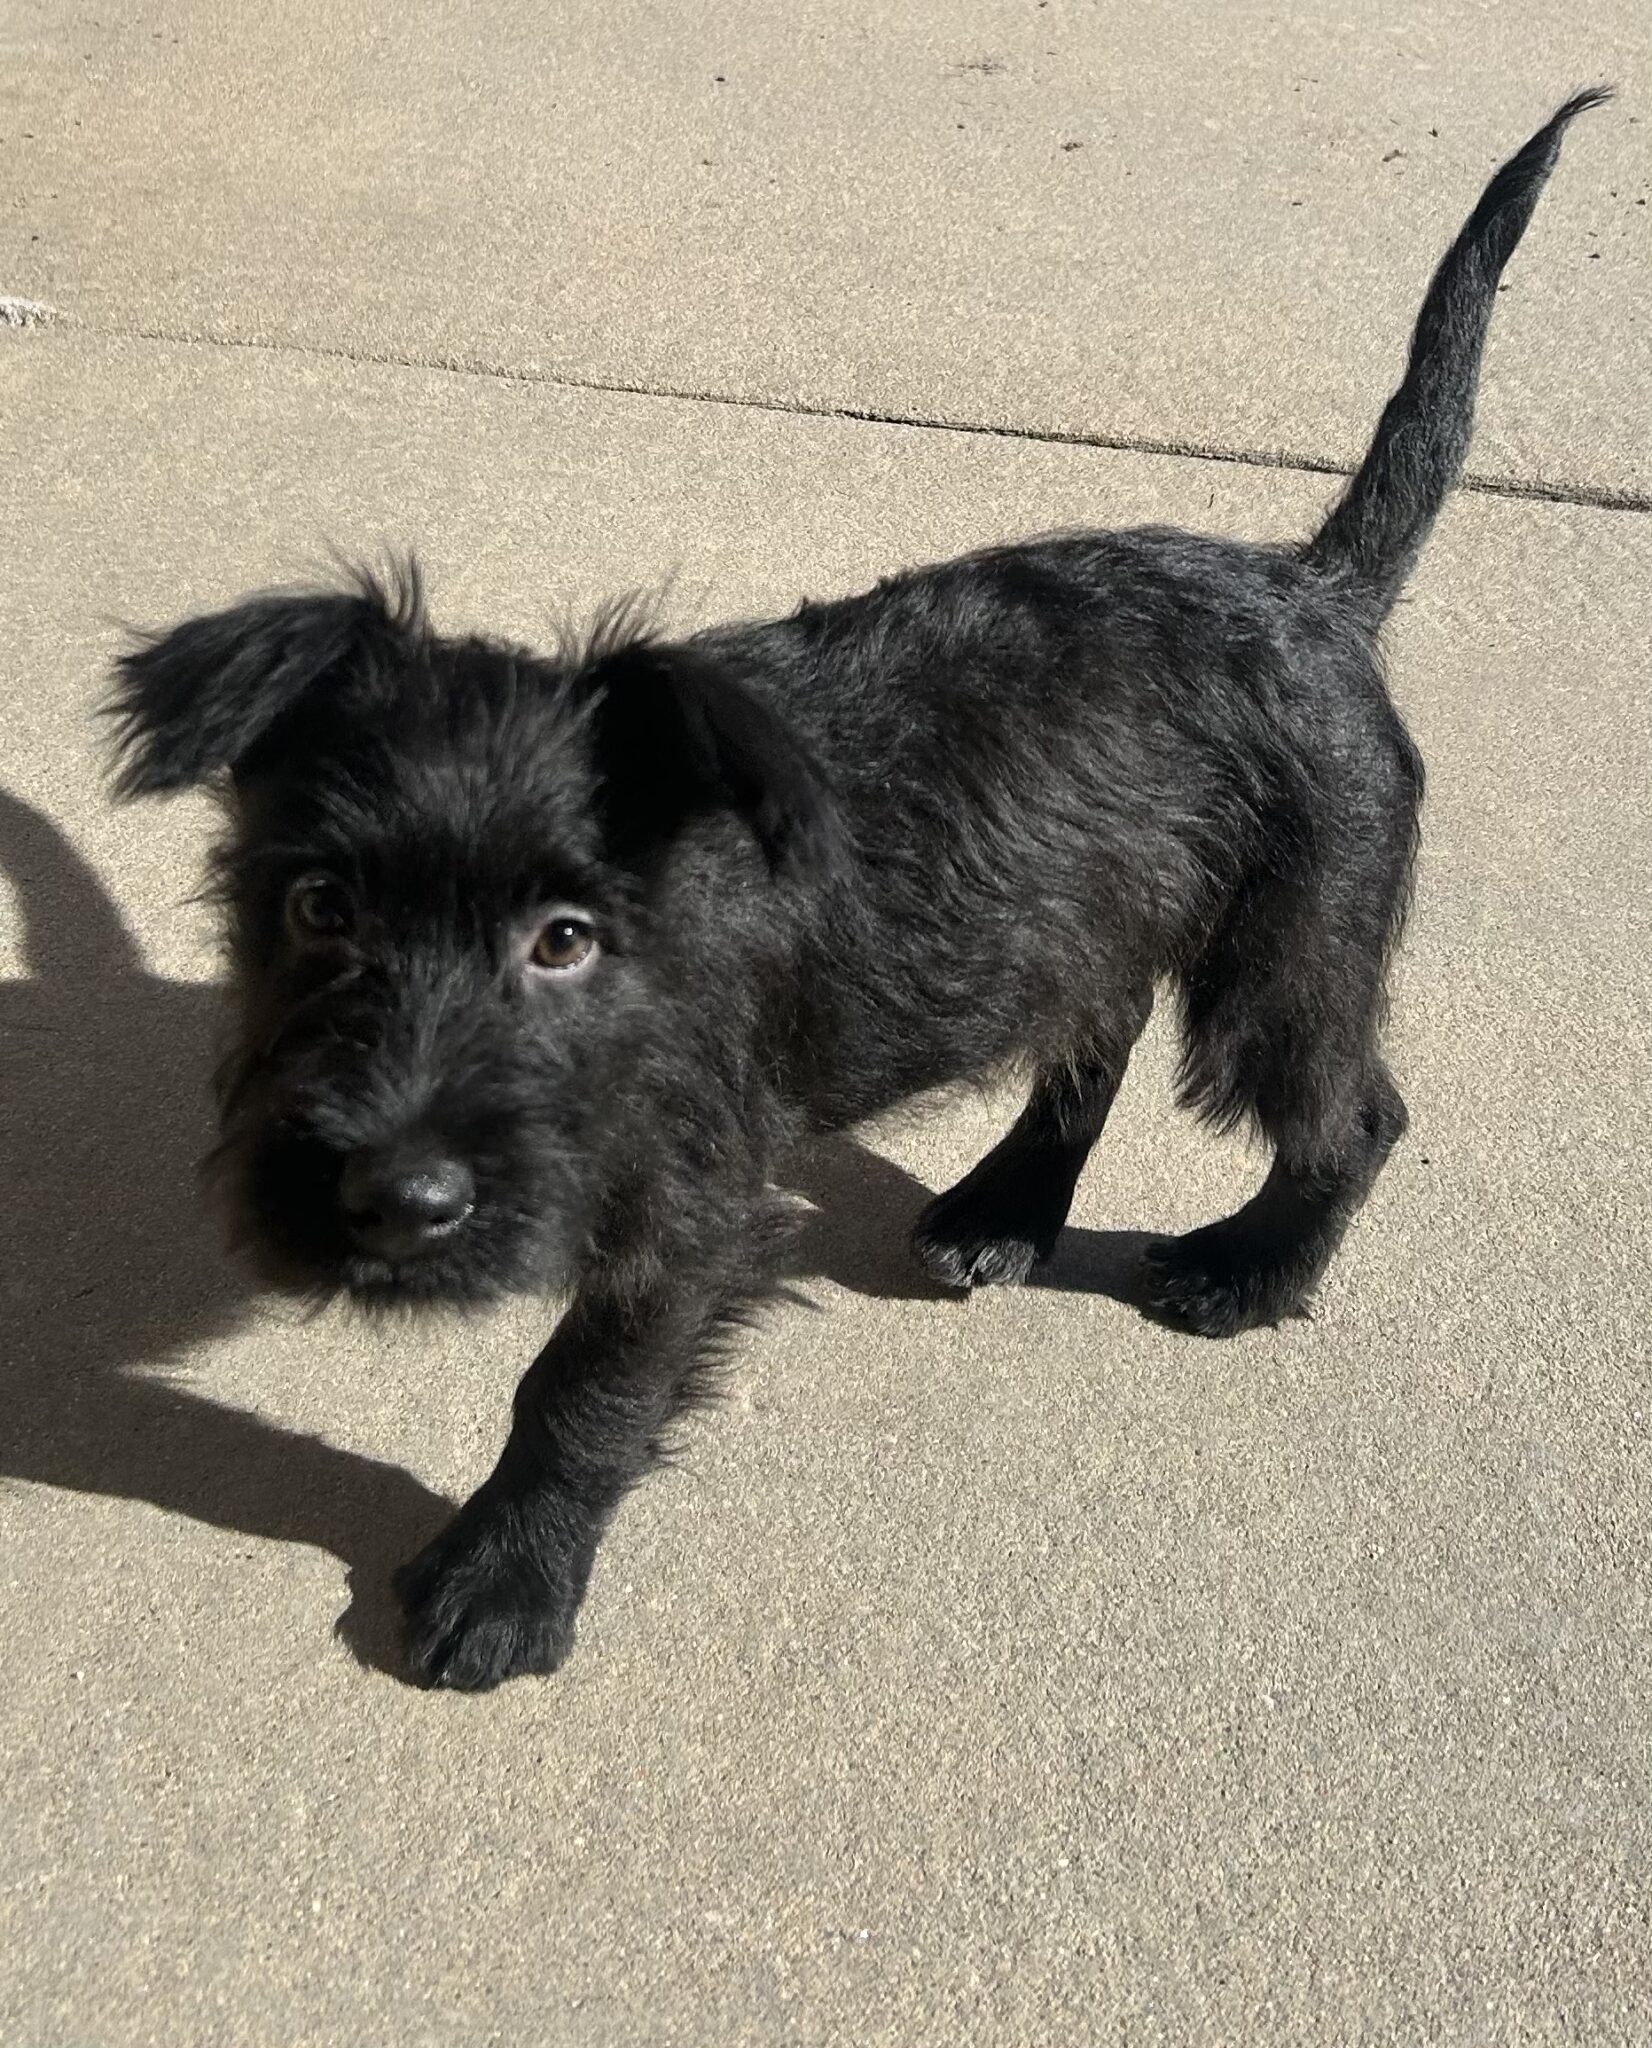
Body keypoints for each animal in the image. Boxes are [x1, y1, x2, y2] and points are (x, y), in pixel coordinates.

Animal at [107, 93, 1605, 1689]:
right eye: (318, 910)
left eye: (565, 940)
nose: (394, 1200)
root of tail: (1312, 591)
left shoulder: (692, 1203)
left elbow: (584, 1384)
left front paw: (508, 1578)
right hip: (1093, 910)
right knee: (1096, 1035)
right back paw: (1006, 1207)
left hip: (1288, 951)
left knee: (1352, 1114)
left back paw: (1248, 1273)